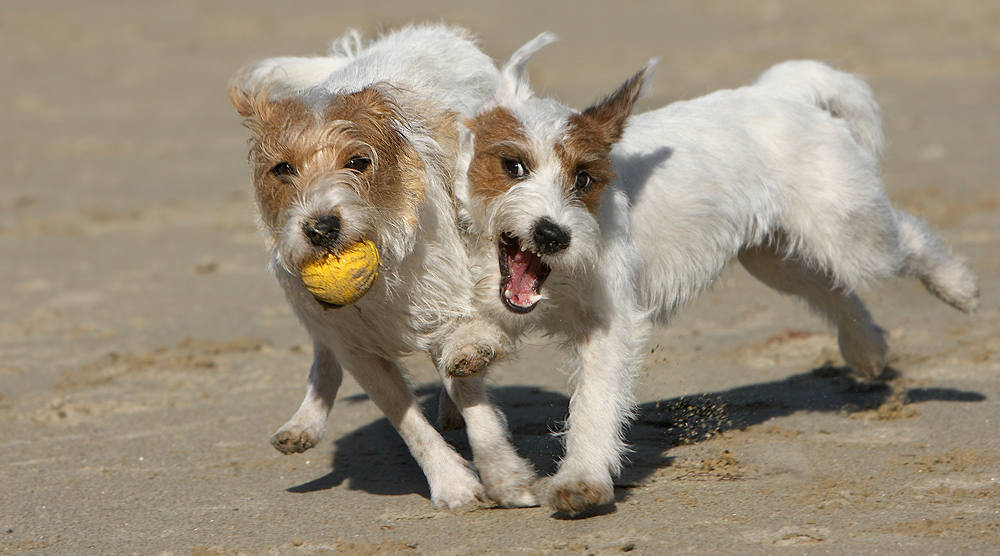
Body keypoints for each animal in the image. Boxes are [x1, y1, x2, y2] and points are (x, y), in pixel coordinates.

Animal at [229, 27, 536, 512]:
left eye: (358, 161)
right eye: (283, 168)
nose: (320, 228)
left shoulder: (445, 304)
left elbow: (475, 402)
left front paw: (503, 476)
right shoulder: (357, 347)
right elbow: (407, 422)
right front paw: (453, 483)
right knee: (324, 354)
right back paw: (305, 422)